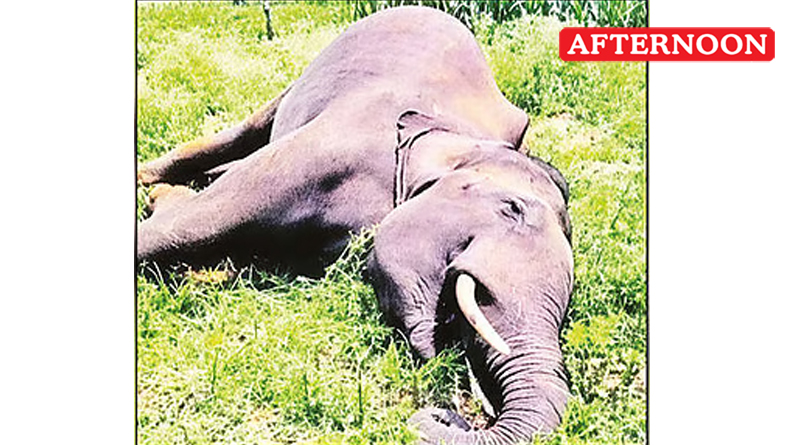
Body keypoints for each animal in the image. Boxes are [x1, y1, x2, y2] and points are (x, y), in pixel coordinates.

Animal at [137, 6, 574, 445]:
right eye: (512, 208)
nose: (454, 412)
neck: (457, 134)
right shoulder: (328, 150)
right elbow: (191, 224)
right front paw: (160, 202)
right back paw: (149, 180)